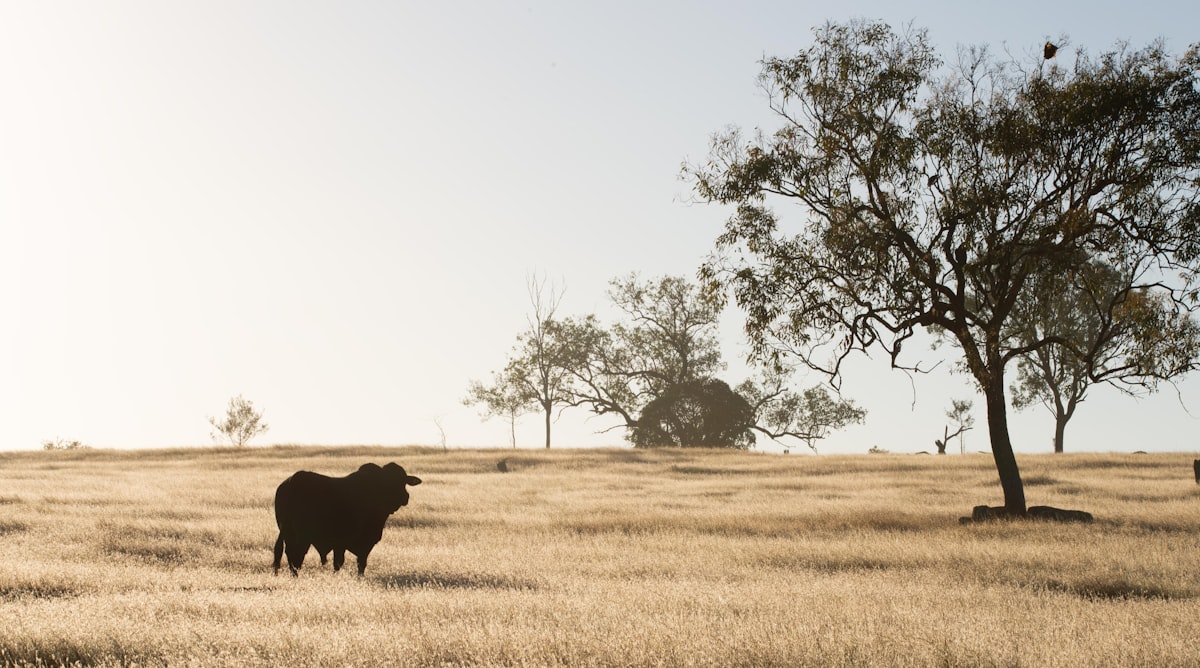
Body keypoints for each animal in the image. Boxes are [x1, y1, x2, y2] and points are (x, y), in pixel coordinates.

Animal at [272, 462, 422, 577]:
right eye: (391, 482)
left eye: (404, 481)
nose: (405, 497)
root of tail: (290, 482)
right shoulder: (345, 543)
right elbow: (343, 563)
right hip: (300, 537)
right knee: (295, 556)